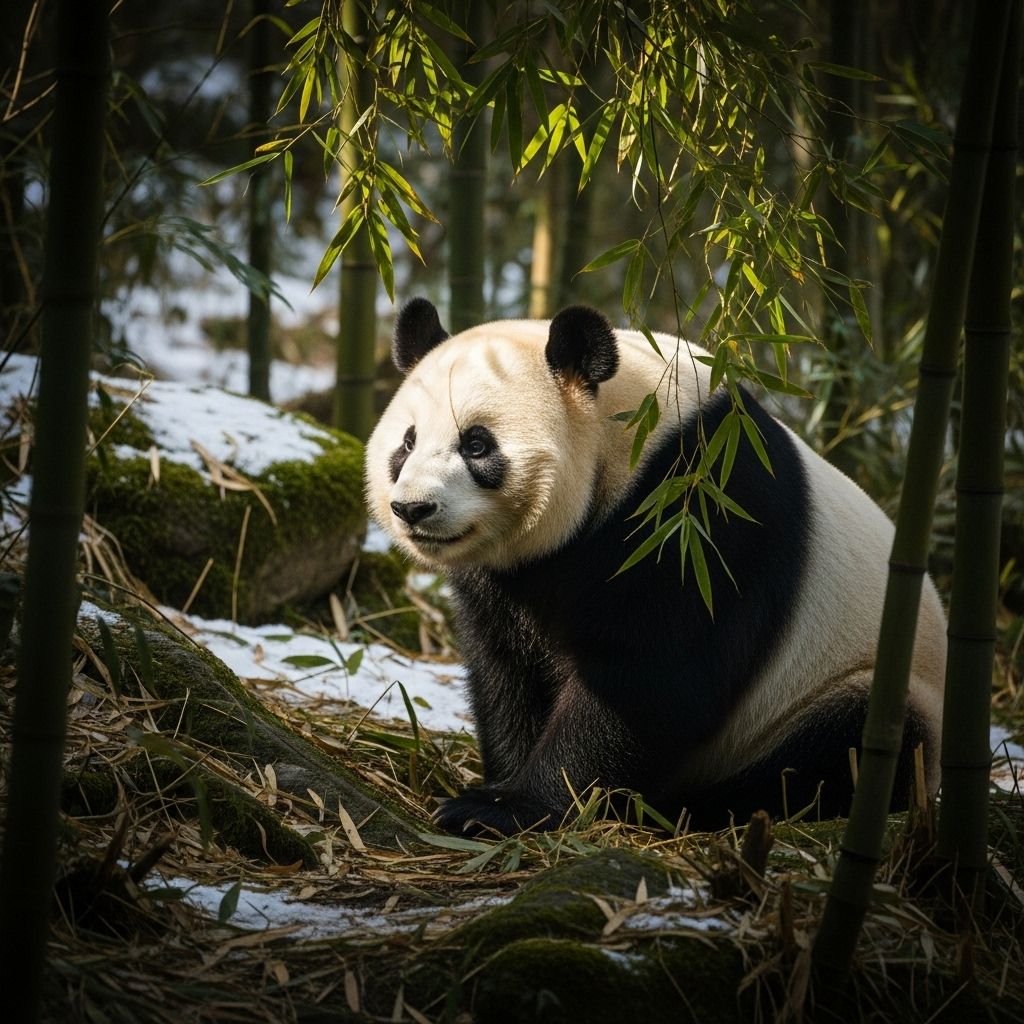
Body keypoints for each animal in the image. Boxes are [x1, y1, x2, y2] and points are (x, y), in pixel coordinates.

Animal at [365, 298, 947, 836]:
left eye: (477, 443)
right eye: (407, 443)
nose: (413, 509)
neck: (632, 438)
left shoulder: (702, 512)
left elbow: (654, 680)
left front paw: (503, 808)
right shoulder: (506, 578)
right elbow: (505, 669)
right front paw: (498, 786)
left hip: (850, 685)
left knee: (839, 749)